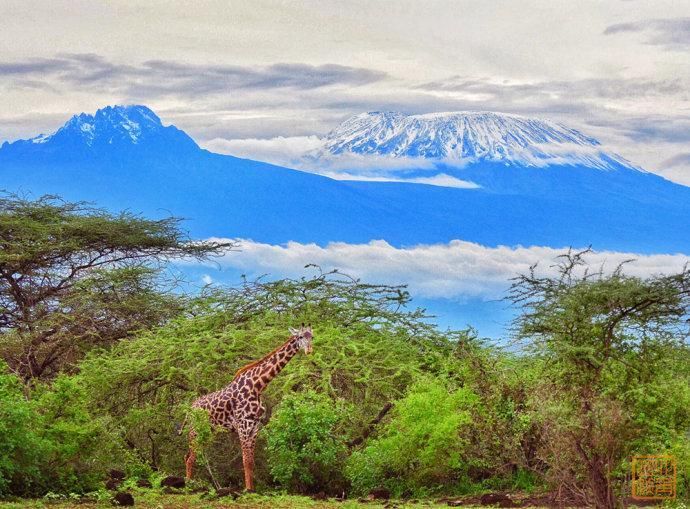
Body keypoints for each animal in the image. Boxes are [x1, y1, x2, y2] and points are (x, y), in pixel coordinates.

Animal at [183, 324, 312, 490]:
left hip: (208, 431)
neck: (258, 386)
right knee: (190, 457)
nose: (309, 351)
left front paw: (252, 489)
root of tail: (190, 408)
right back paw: (188, 485)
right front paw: (247, 489)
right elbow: (245, 461)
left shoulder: (255, 426)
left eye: (312, 337)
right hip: (195, 430)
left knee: (190, 455)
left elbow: (251, 461)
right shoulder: (243, 425)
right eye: (301, 337)